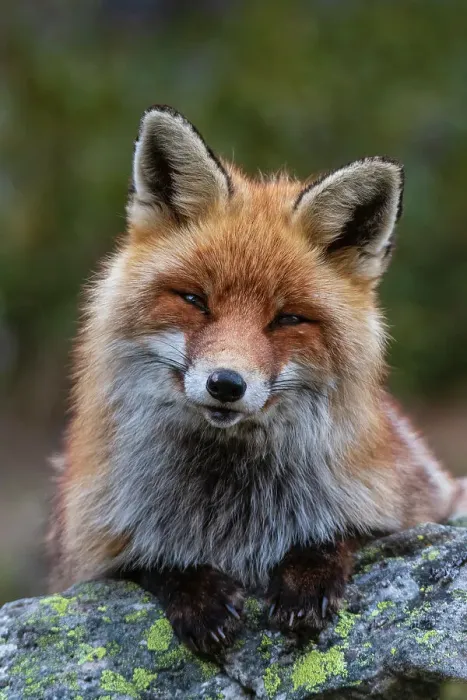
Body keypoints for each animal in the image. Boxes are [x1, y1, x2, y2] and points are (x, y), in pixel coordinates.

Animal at [48, 104, 467, 655]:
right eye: (195, 300)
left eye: (287, 319)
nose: (226, 384)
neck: (233, 505)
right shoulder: (90, 552)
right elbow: (151, 561)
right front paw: (197, 592)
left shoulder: (414, 506)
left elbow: (343, 533)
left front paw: (306, 579)